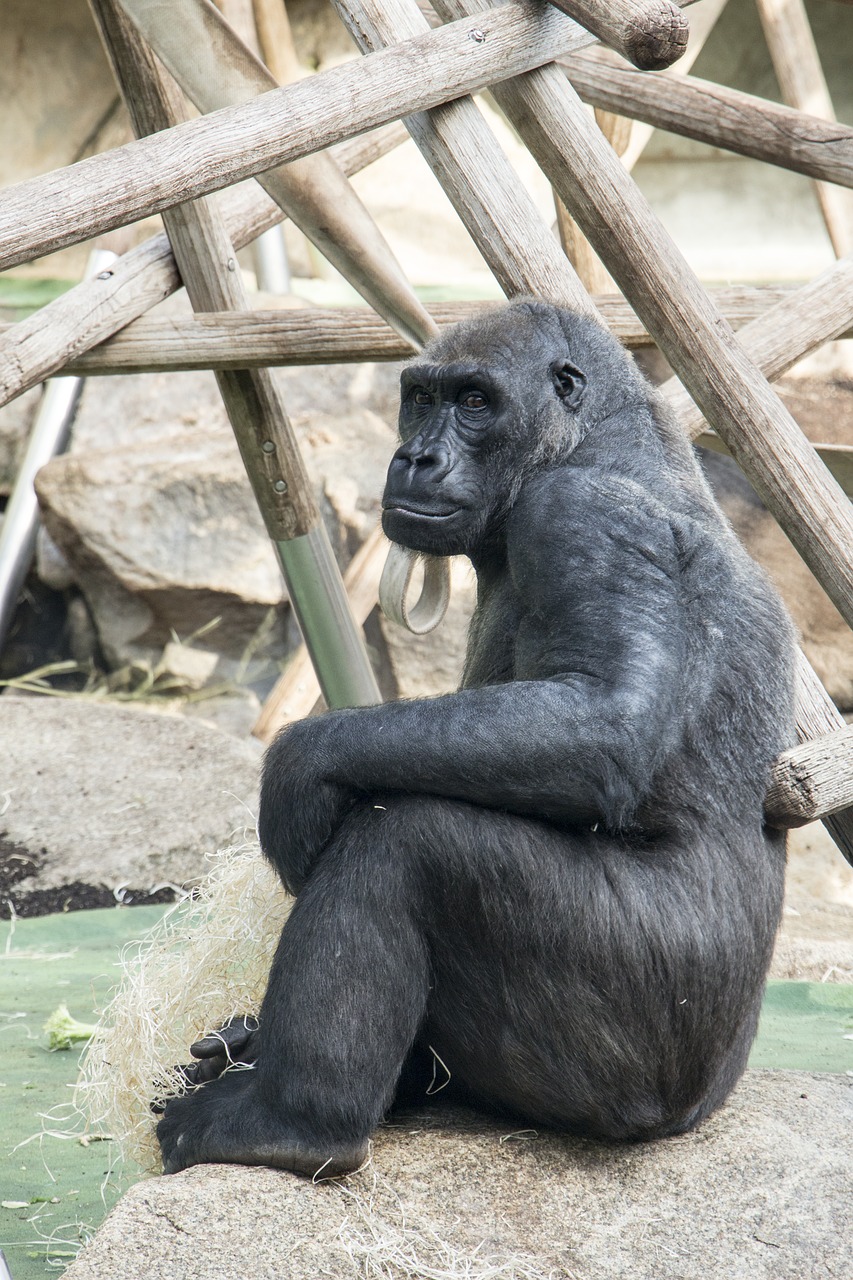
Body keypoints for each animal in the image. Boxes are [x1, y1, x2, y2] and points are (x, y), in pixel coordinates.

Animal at [156, 299, 794, 1177]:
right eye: (421, 398)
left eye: (474, 401)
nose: (415, 455)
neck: (592, 436)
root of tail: (697, 1113)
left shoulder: (582, 514)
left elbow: (603, 720)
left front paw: (299, 767)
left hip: (638, 1048)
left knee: (409, 841)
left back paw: (289, 1122)